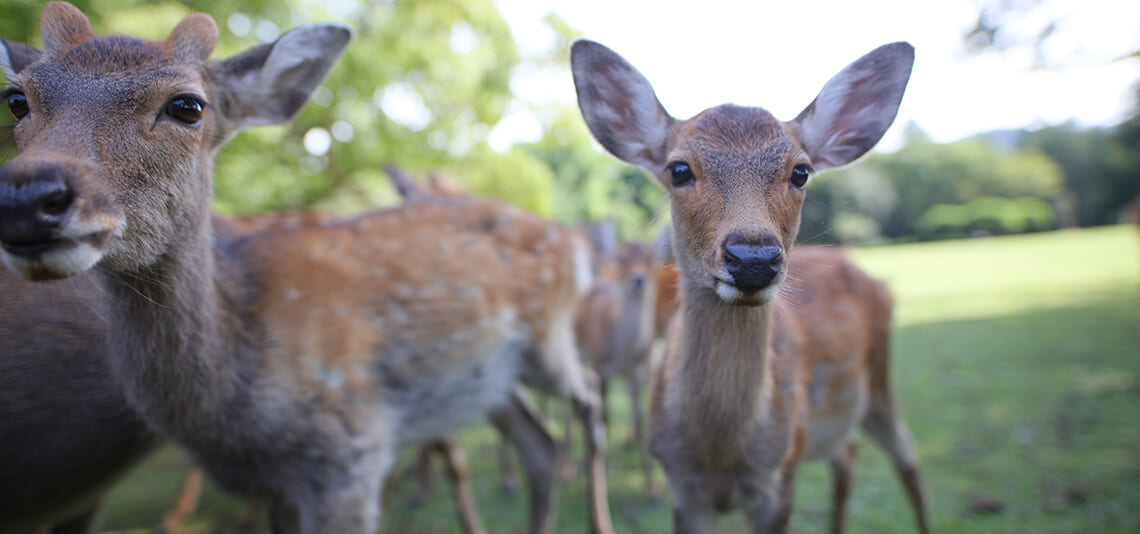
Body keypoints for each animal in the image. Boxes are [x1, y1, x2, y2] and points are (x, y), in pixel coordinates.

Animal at [0, 5, 615, 534]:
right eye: (16, 99)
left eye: (187, 105)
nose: (29, 197)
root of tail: (573, 242)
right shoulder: (275, 487)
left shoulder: (352, 454)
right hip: (490, 380)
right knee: (539, 446)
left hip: (549, 338)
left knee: (586, 396)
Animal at [574, 38, 930, 534]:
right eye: (678, 169)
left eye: (800, 172)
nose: (753, 258)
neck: (721, 455)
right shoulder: (684, 488)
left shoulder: (779, 479)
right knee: (848, 455)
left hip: (878, 380)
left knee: (908, 454)